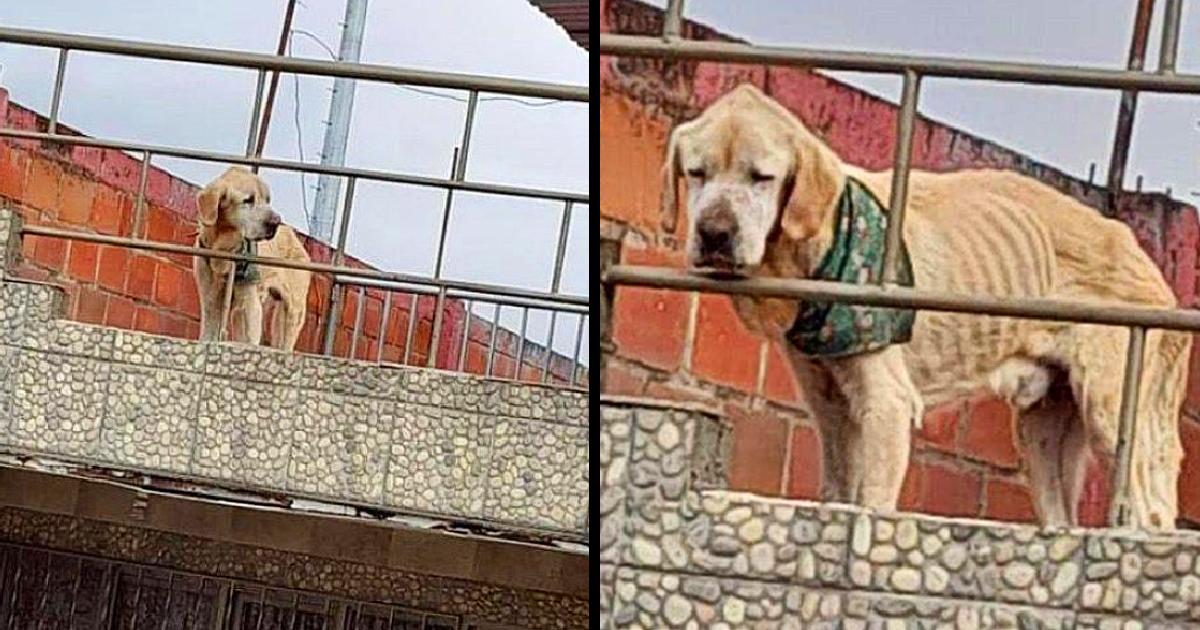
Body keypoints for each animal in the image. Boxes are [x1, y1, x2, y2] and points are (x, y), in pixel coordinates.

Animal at [194, 165, 312, 348]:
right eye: (248, 200)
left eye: (268, 200)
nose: (276, 222)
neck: (225, 248)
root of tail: (295, 239)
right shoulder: (210, 300)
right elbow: (208, 334)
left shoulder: (249, 304)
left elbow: (249, 339)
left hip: (293, 311)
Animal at [667, 81, 1190, 528]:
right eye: (696, 173)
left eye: (762, 177)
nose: (714, 234)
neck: (824, 244)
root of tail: (1151, 266)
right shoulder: (829, 405)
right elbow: (837, 490)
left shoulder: (888, 404)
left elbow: (871, 503)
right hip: (1044, 431)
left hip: (1112, 410)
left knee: (1151, 514)